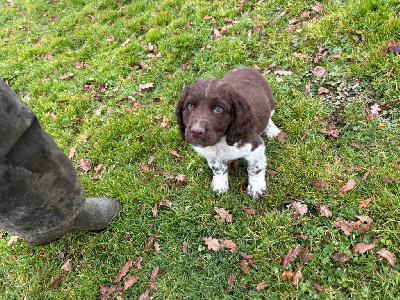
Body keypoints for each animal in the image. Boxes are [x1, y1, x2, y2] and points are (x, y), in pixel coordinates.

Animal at [175, 67, 282, 198]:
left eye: (218, 109)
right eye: (190, 105)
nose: (196, 132)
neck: (221, 142)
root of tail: (246, 67)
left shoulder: (255, 147)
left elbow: (255, 168)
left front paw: (256, 188)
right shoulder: (211, 153)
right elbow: (218, 168)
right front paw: (220, 186)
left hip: (270, 103)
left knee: (269, 118)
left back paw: (272, 130)